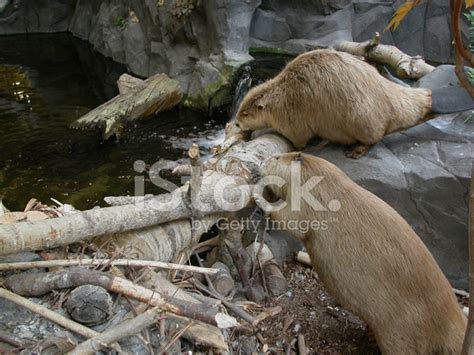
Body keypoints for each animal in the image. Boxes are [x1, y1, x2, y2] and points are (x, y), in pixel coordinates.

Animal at [235, 48, 472, 159]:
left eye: (245, 113)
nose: (236, 123)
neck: (279, 94)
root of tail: (429, 99)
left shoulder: (291, 119)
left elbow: (299, 139)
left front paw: (302, 146)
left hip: (361, 118)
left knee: (376, 137)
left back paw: (354, 151)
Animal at [258, 152, 464, 354]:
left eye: (277, 158)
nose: (262, 161)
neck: (322, 178)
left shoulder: (308, 201)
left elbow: (291, 220)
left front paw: (259, 193)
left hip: (400, 335)